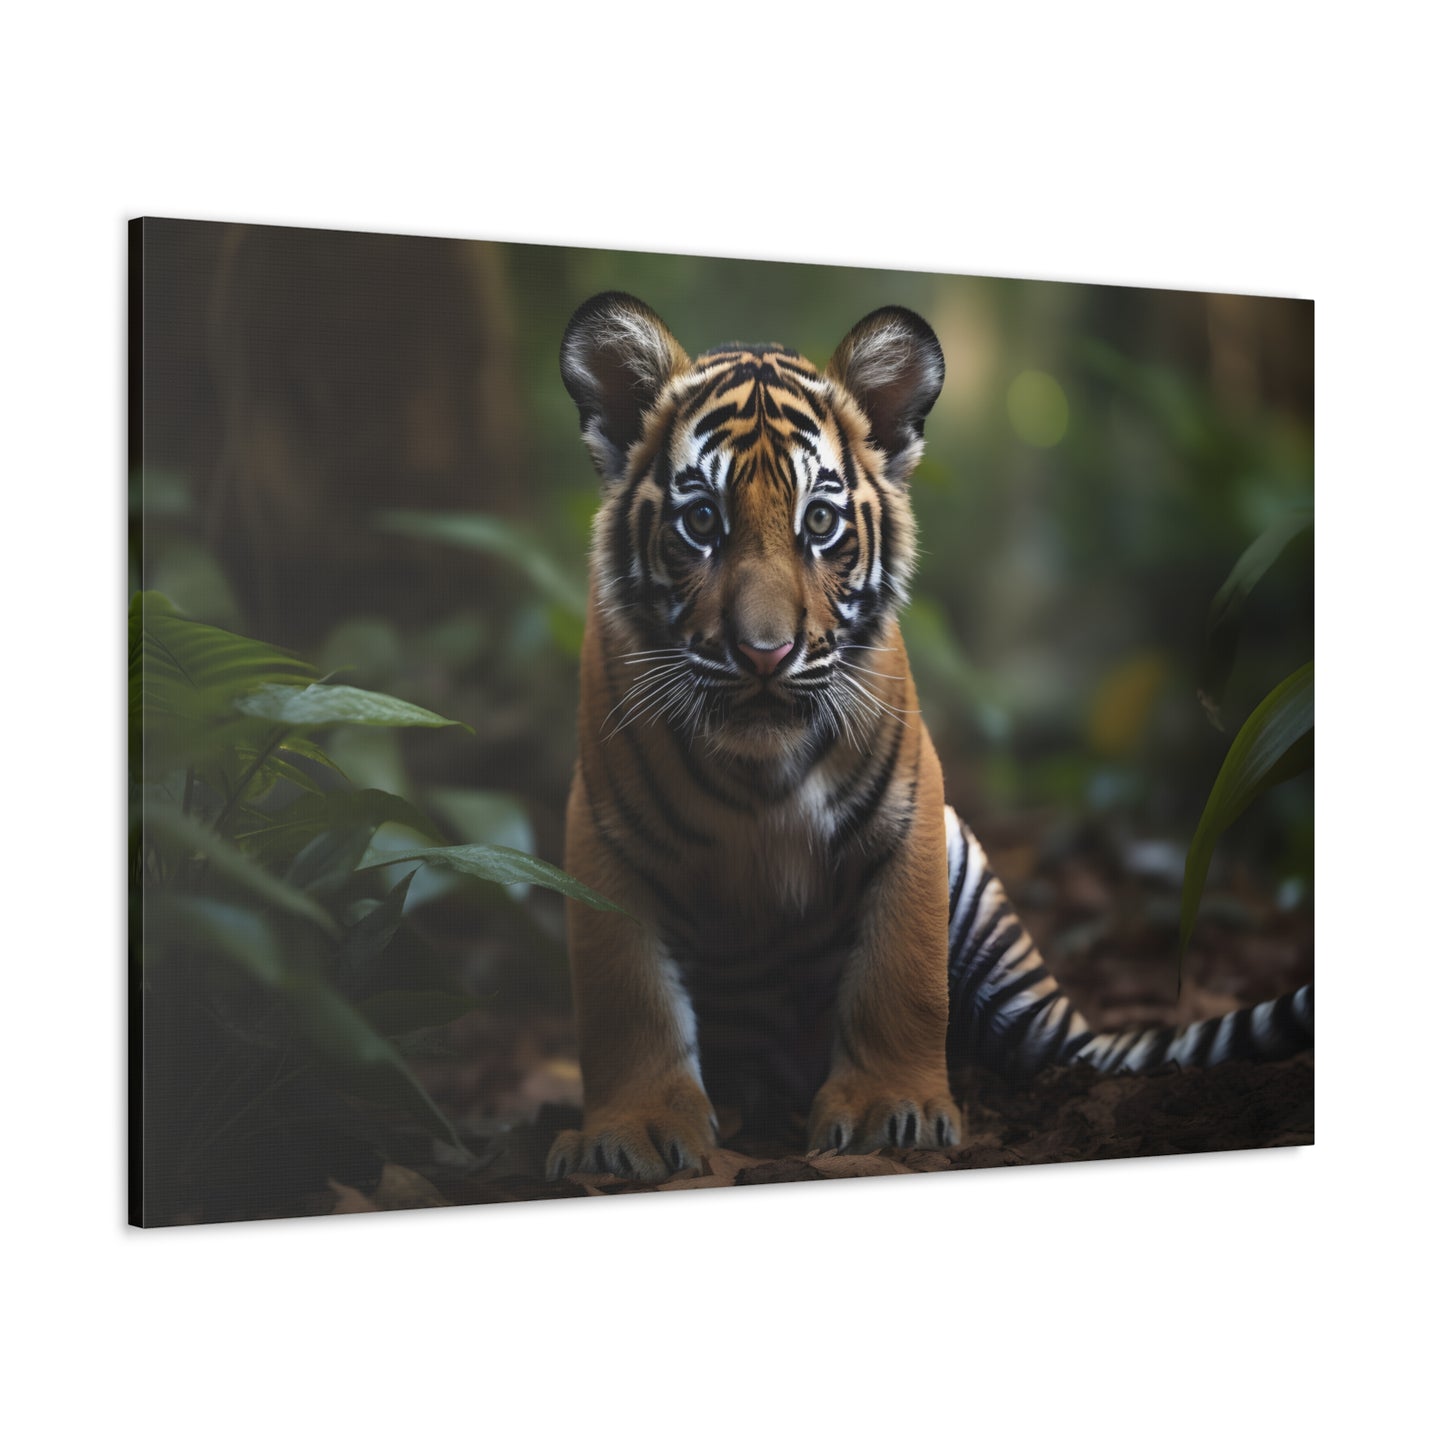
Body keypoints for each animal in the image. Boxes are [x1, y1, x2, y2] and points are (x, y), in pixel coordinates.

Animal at [546, 291, 1314, 1183]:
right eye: (701, 519)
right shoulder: (603, 838)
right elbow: (626, 1000)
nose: (765, 653)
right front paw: (630, 1132)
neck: (758, 769)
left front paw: (890, 1111)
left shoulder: (908, 815)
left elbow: (899, 975)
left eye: (818, 521)